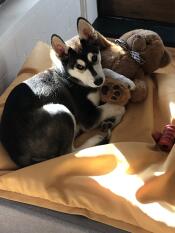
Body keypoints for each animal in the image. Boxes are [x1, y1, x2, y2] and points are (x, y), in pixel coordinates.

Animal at [0, 18, 125, 167]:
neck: (71, 78)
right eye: (79, 66)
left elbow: (106, 71)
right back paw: (96, 139)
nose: (98, 81)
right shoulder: (89, 117)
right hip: (61, 110)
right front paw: (115, 117)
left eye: (94, 58)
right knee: (69, 152)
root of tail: (18, 157)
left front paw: (127, 82)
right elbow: (118, 107)